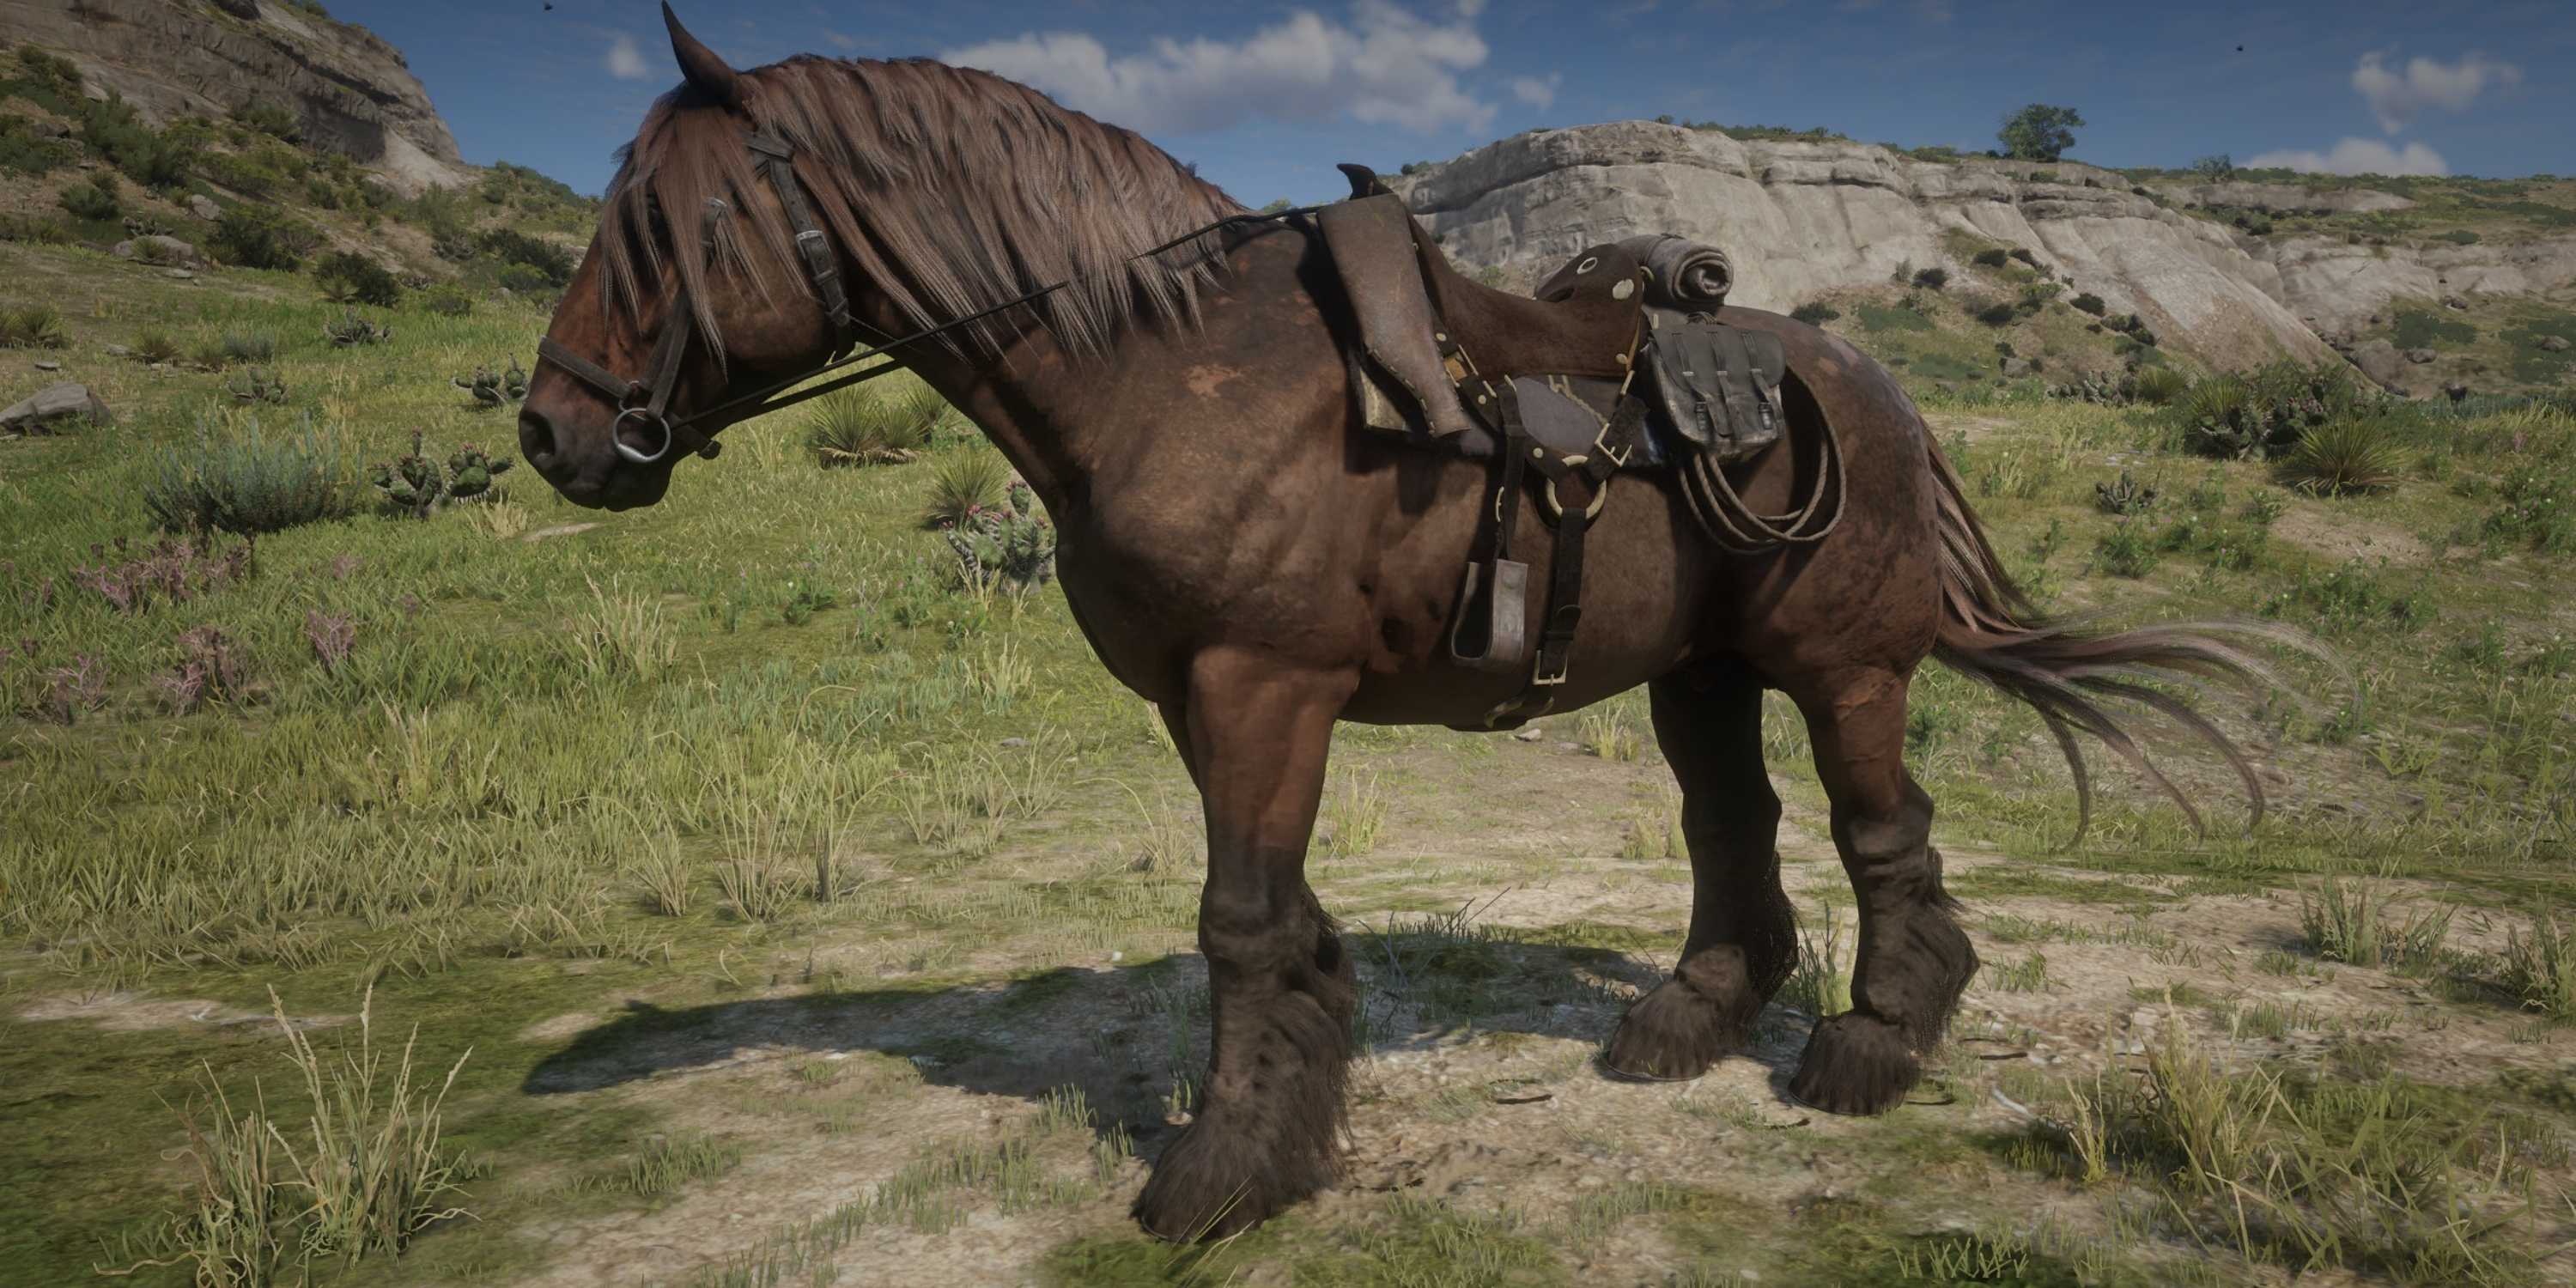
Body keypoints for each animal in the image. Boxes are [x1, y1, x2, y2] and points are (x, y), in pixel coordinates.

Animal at [519, 7, 2290, 1241]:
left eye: (664, 231)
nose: (552, 432)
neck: (1164, 368)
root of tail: (1882, 393)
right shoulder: (1205, 701)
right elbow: (1283, 921)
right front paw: (1294, 1131)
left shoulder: (1262, 684)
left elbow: (1239, 925)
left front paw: (1220, 1170)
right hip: (1701, 677)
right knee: (1735, 830)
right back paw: (1687, 1022)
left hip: (1840, 667)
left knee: (1884, 833)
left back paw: (1873, 1048)